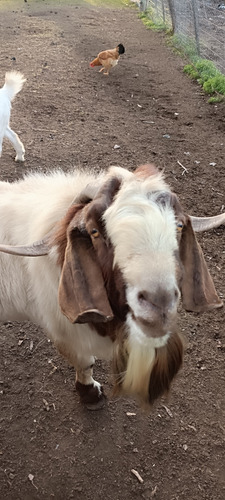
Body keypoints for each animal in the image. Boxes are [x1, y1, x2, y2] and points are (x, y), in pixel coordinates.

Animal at [0, 166, 223, 408]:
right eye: (94, 231)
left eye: (179, 226)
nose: (159, 302)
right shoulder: (63, 330)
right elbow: (84, 360)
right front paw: (90, 394)